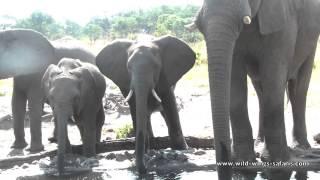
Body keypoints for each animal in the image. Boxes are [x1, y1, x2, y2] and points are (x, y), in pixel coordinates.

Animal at [95, 35, 195, 173]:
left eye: (156, 66)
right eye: (128, 67)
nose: (145, 169)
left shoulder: (165, 76)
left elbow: (170, 105)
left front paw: (182, 149)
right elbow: (135, 107)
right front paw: (144, 151)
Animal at [189, 0, 320, 178]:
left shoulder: (282, 19)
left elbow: (273, 74)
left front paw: (277, 161)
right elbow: (234, 77)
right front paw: (243, 162)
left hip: (311, 39)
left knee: (298, 88)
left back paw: (300, 148)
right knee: (260, 90)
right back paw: (260, 145)